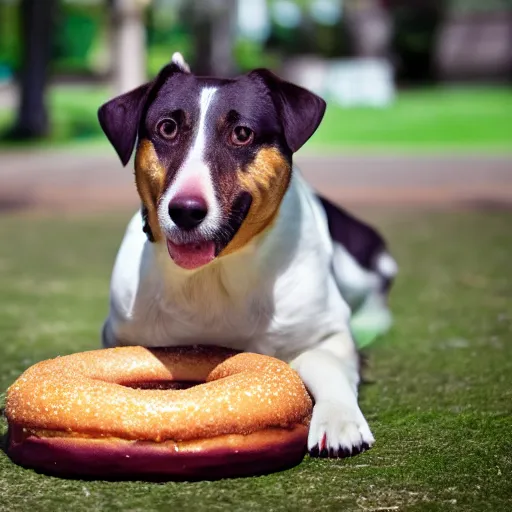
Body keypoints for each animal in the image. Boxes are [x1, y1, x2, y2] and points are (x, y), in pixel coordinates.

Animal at [98, 52, 398, 458]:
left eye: (242, 133)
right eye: (167, 128)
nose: (186, 211)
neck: (215, 271)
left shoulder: (329, 332)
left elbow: (325, 359)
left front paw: (337, 420)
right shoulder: (120, 334)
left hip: (357, 262)